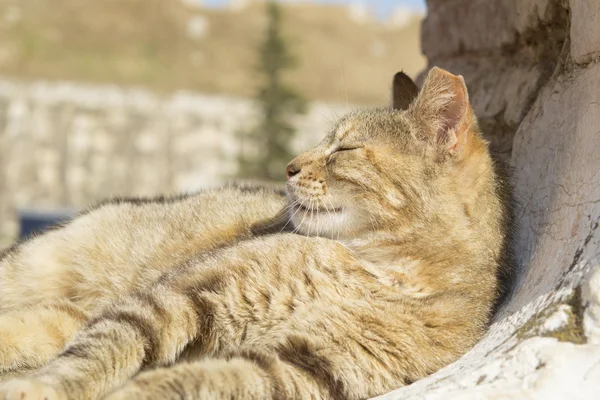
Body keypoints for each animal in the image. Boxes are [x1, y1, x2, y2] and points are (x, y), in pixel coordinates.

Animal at [1, 67, 516, 398]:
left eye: (344, 149)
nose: (289, 167)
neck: (375, 267)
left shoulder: (301, 365)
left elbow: (187, 382)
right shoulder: (186, 294)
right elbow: (97, 355)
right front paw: (43, 388)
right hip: (38, 268)